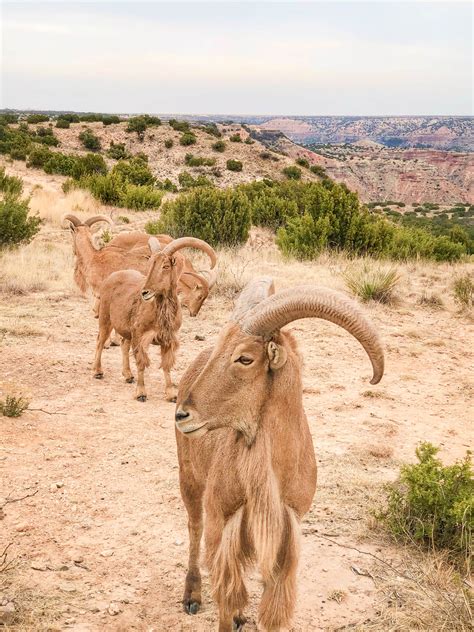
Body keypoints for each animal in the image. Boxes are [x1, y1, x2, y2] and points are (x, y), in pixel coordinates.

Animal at [93, 235, 216, 402]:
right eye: (150, 263)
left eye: (166, 266)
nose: (145, 292)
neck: (161, 313)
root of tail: (111, 276)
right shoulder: (140, 335)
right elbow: (141, 362)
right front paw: (141, 393)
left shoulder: (168, 339)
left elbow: (166, 365)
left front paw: (171, 394)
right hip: (106, 319)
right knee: (100, 341)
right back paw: (97, 371)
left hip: (126, 329)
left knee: (124, 344)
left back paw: (128, 375)